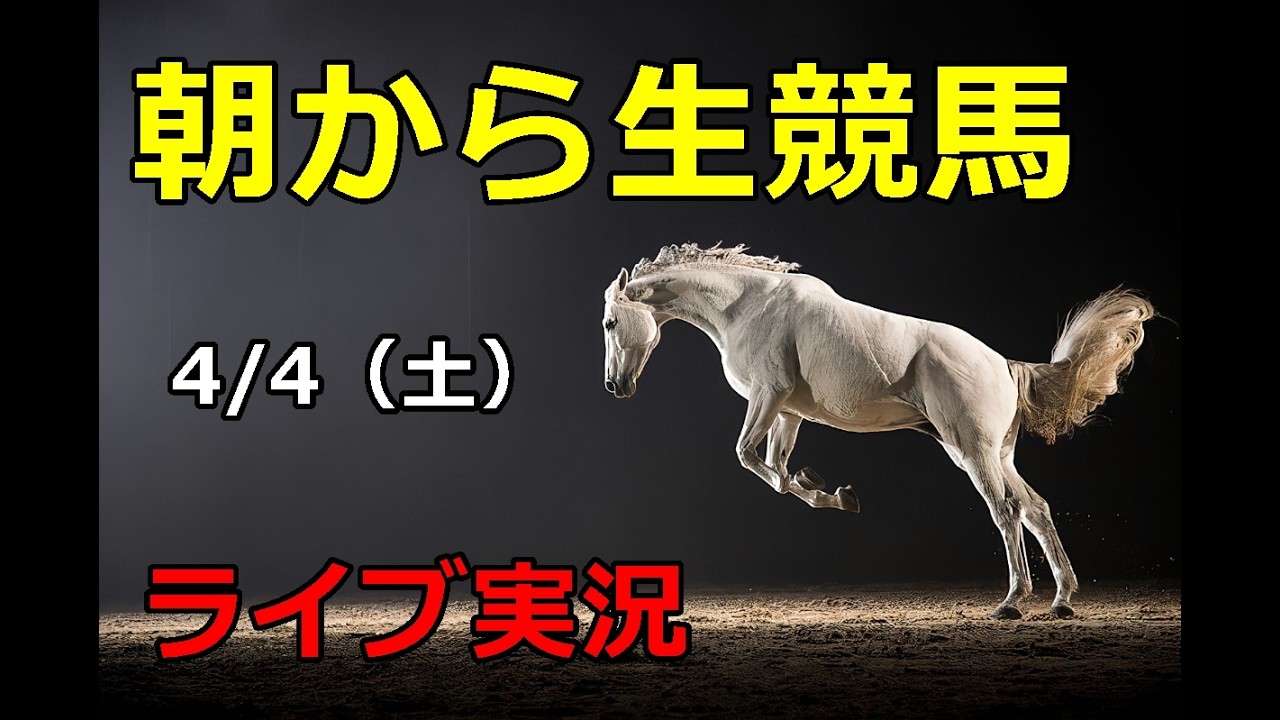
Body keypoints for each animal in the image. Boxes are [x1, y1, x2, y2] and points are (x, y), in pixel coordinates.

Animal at [601, 244, 1155, 620]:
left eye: (609, 323)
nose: (614, 386)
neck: (749, 306)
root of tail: (1004, 364)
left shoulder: (768, 396)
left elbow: (748, 457)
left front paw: (826, 489)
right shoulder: (788, 412)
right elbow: (776, 470)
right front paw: (832, 492)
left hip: (974, 452)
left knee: (1006, 510)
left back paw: (1013, 602)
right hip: (990, 454)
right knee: (1035, 508)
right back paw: (1062, 599)